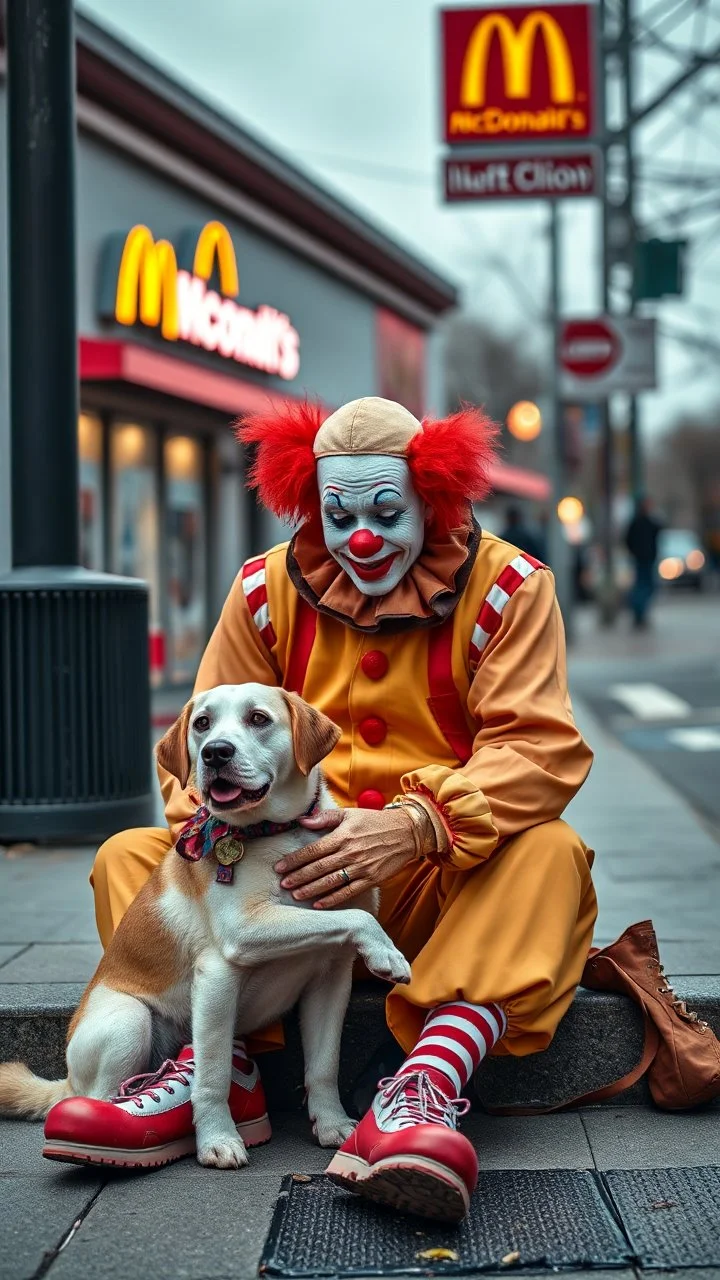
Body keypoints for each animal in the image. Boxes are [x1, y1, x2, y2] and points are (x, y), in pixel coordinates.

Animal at [0, 686, 409, 1167]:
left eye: (258, 718)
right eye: (202, 724)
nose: (215, 752)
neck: (279, 833)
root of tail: (66, 1080)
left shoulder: (330, 980)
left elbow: (323, 1066)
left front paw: (331, 1125)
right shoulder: (229, 952)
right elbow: (211, 1078)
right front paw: (217, 1140)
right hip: (129, 1022)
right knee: (101, 1094)